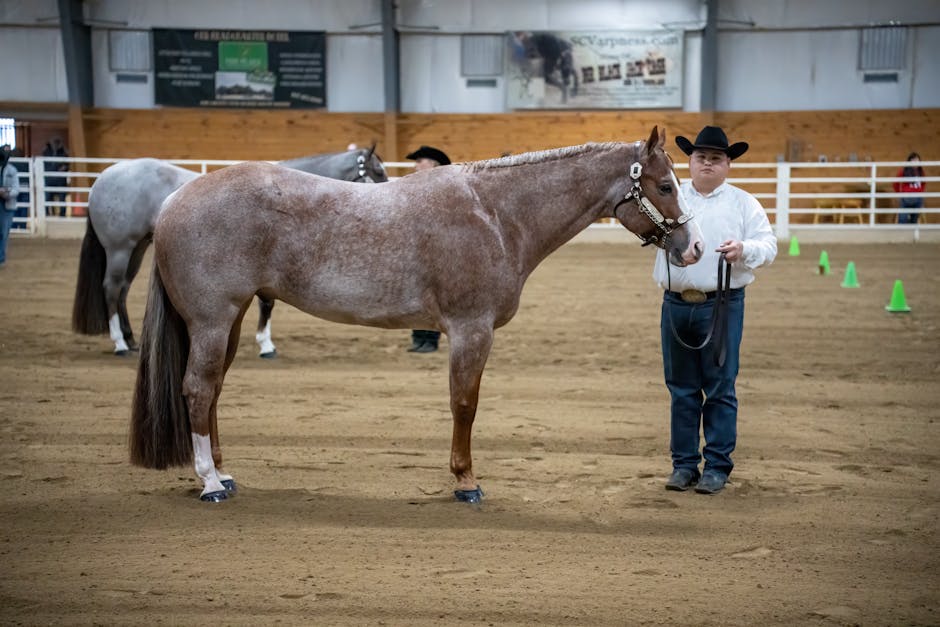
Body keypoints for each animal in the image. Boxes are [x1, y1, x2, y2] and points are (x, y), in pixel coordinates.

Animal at [69, 144, 386, 356]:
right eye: (378, 171)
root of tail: (103, 178)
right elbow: (267, 304)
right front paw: (266, 345)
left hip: (137, 248)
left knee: (122, 289)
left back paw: (131, 340)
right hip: (119, 249)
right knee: (111, 288)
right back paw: (120, 343)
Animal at [129, 127, 700, 506]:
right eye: (665, 186)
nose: (692, 247)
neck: (495, 214)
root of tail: (174, 200)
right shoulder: (471, 331)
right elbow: (465, 405)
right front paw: (465, 482)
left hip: (229, 320)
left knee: (213, 391)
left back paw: (223, 474)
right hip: (212, 320)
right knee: (198, 390)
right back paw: (209, 483)